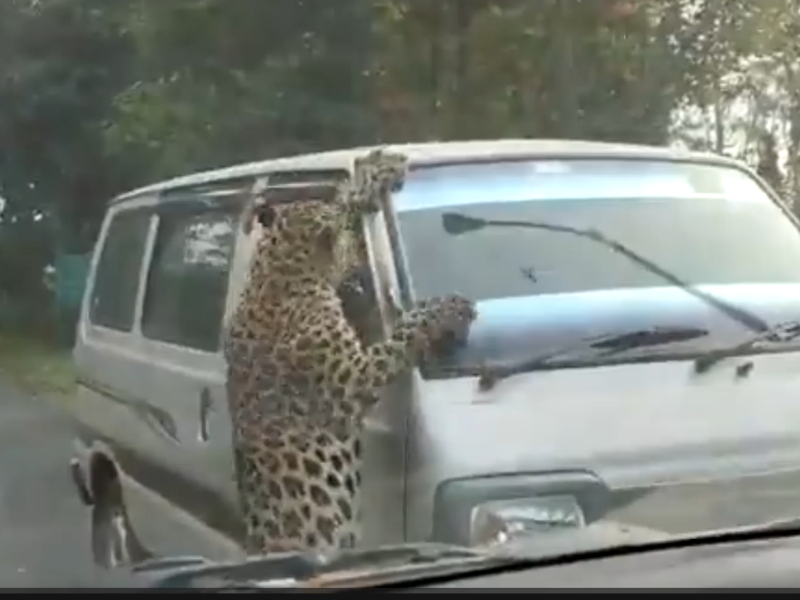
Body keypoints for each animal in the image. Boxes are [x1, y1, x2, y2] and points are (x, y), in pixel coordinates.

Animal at [222, 148, 478, 556]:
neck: (279, 269)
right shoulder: (350, 377)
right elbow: (401, 335)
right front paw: (446, 308)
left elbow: (349, 227)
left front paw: (375, 171)